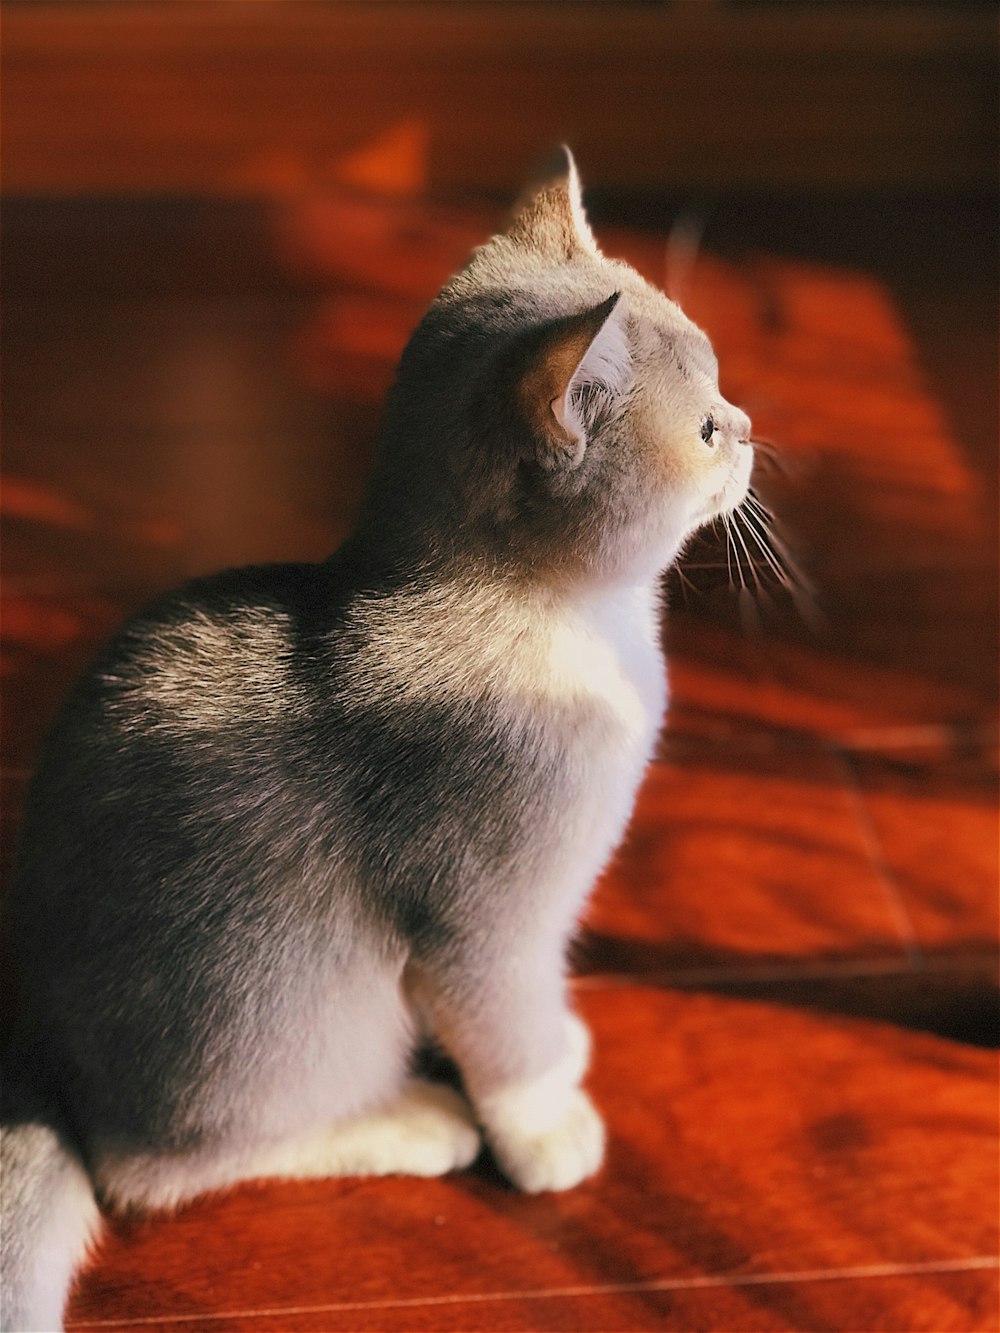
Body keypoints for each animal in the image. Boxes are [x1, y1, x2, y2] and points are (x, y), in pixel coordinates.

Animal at [0, 151, 752, 1327]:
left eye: (722, 381)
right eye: (705, 428)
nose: (751, 423)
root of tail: (40, 1050)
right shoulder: (484, 919)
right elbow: (512, 1033)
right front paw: (547, 1129)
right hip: (292, 994)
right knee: (153, 1166)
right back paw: (405, 1121)